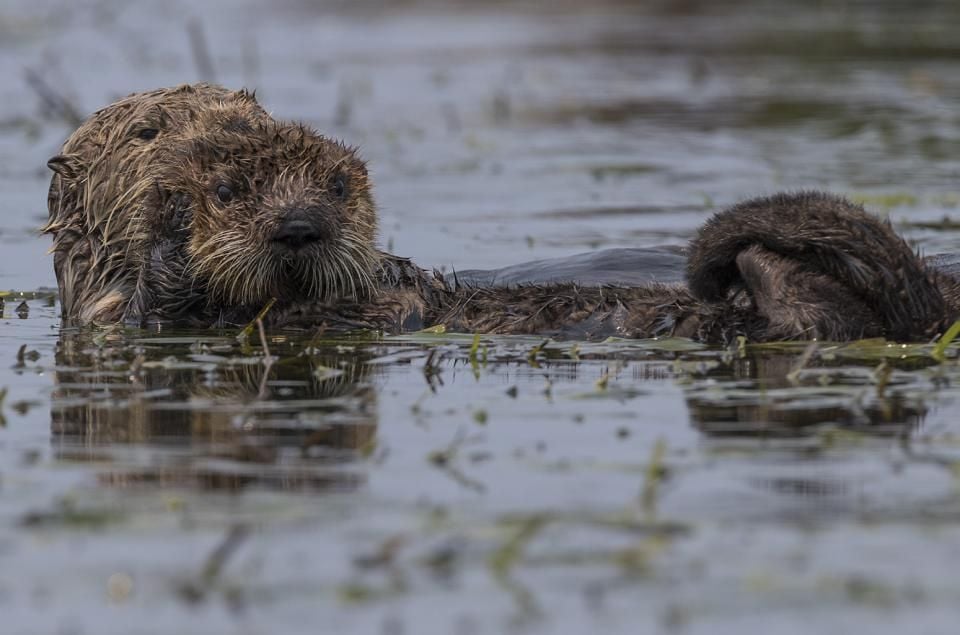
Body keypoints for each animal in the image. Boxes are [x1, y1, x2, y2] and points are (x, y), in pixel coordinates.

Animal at [41, 85, 960, 342]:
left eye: (248, 110)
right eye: (149, 130)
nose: (300, 224)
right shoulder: (115, 318)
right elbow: (155, 306)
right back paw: (760, 272)